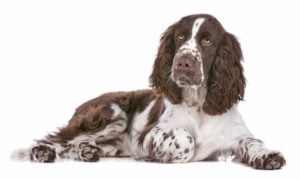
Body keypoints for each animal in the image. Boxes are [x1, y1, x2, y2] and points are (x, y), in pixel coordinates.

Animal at [12, 14, 284, 169]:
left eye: (208, 41)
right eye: (180, 36)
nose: (183, 62)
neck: (198, 105)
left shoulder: (235, 134)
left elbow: (252, 141)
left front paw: (267, 155)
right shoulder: (150, 134)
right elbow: (185, 138)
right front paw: (161, 155)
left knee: (78, 144)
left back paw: (86, 152)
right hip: (112, 114)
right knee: (60, 139)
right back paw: (42, 151)